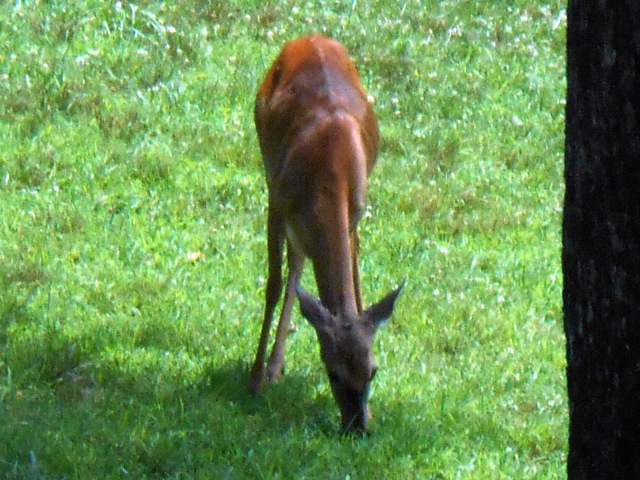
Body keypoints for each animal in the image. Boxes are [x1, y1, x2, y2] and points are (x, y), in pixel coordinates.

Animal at [249, 34, 403, 434]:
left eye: (373, 371)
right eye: (332, 373)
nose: (358, 428)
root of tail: (309, 38)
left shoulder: (354, 212)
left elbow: (357, 286)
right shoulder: (277, 201)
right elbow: (273, 284)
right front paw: (255, 380)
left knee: (301, 262)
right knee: (292, 269)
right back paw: (269, 370)